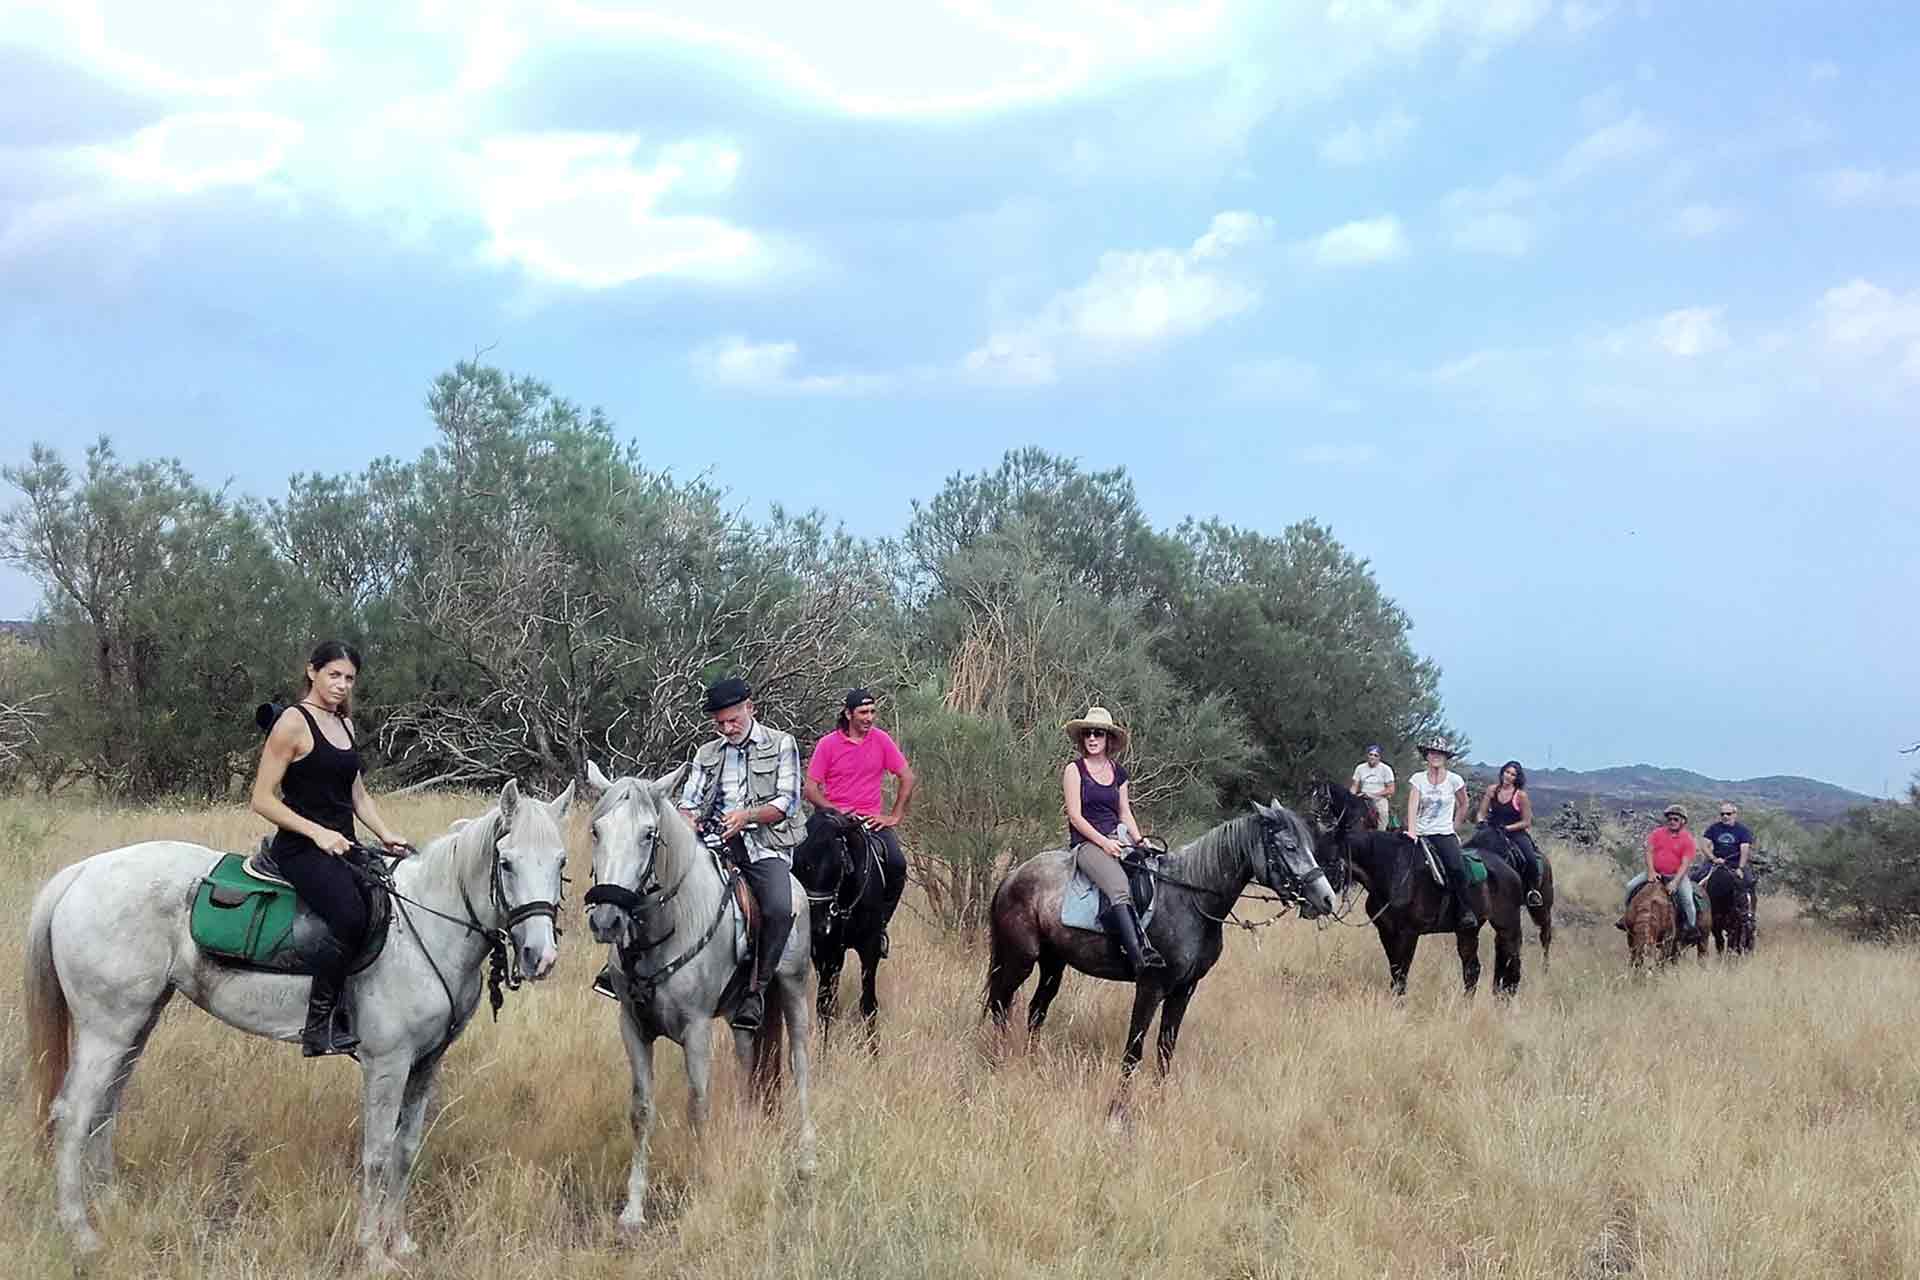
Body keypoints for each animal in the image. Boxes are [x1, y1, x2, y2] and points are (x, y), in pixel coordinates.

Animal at [26, 775, 572, 1266]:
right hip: (106, 1031)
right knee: (73, 1114)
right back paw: (81, 1232)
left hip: (136, 1026)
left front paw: (400, 1243)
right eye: (506, 862)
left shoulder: (425, 1064)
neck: (426, 924)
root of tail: (82, 873)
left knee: (106, 1110)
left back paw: (113, 1209)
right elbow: (377, 1153)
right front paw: (373, 1251)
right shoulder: (388, 1064)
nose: (539, 956)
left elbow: (404, 1150)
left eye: (562, 861)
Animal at [583, 759, 825, 1228]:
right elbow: (641, 1111)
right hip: (742, 1016)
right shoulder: (632, 1026)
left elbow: (698, 1107)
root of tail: (797, 888)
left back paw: (807, 1158)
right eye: (596, 830)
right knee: (750, 1066)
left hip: (793, 989)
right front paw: (633, 1209)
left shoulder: (695, 1030)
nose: (607, 919)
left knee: (800, 1064)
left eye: (649, 834)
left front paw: (699, 1185)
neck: (668, 928)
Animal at [787, 817, 898, 1043]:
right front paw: (825, 1050)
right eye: (799, 864)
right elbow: (825, 1006)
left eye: (837, 864)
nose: (818, 926)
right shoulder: (825, 952)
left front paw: (873, 1050)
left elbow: (868, 1005)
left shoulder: (870, 948)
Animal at [990, 809, 1336, 1113]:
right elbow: (1134, 1050)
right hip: (1020, 960)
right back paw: (996, 1063)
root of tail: (1013, 875)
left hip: (1053, 963)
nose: (1327, 899)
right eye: (1289, 847)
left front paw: (1159, 1101)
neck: (1192, 899)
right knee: (1001, 1005)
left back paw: (1031, 1064)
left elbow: (1165, 1048)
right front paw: (1119, 1110)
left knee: (1036, 1010)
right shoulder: (1151, 986)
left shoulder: (1184, 989)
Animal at [1305, 782, 1559, 997]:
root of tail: (1508, 867)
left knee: (1518, 957)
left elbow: (1401, 975)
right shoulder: (1386, 931)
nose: (1310, 904)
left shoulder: (1408, 933)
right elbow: (1395, 973)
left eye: (1329, 861)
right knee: (1472, 970)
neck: (1392, 871)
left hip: (1511, 922)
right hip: (1468, 930)